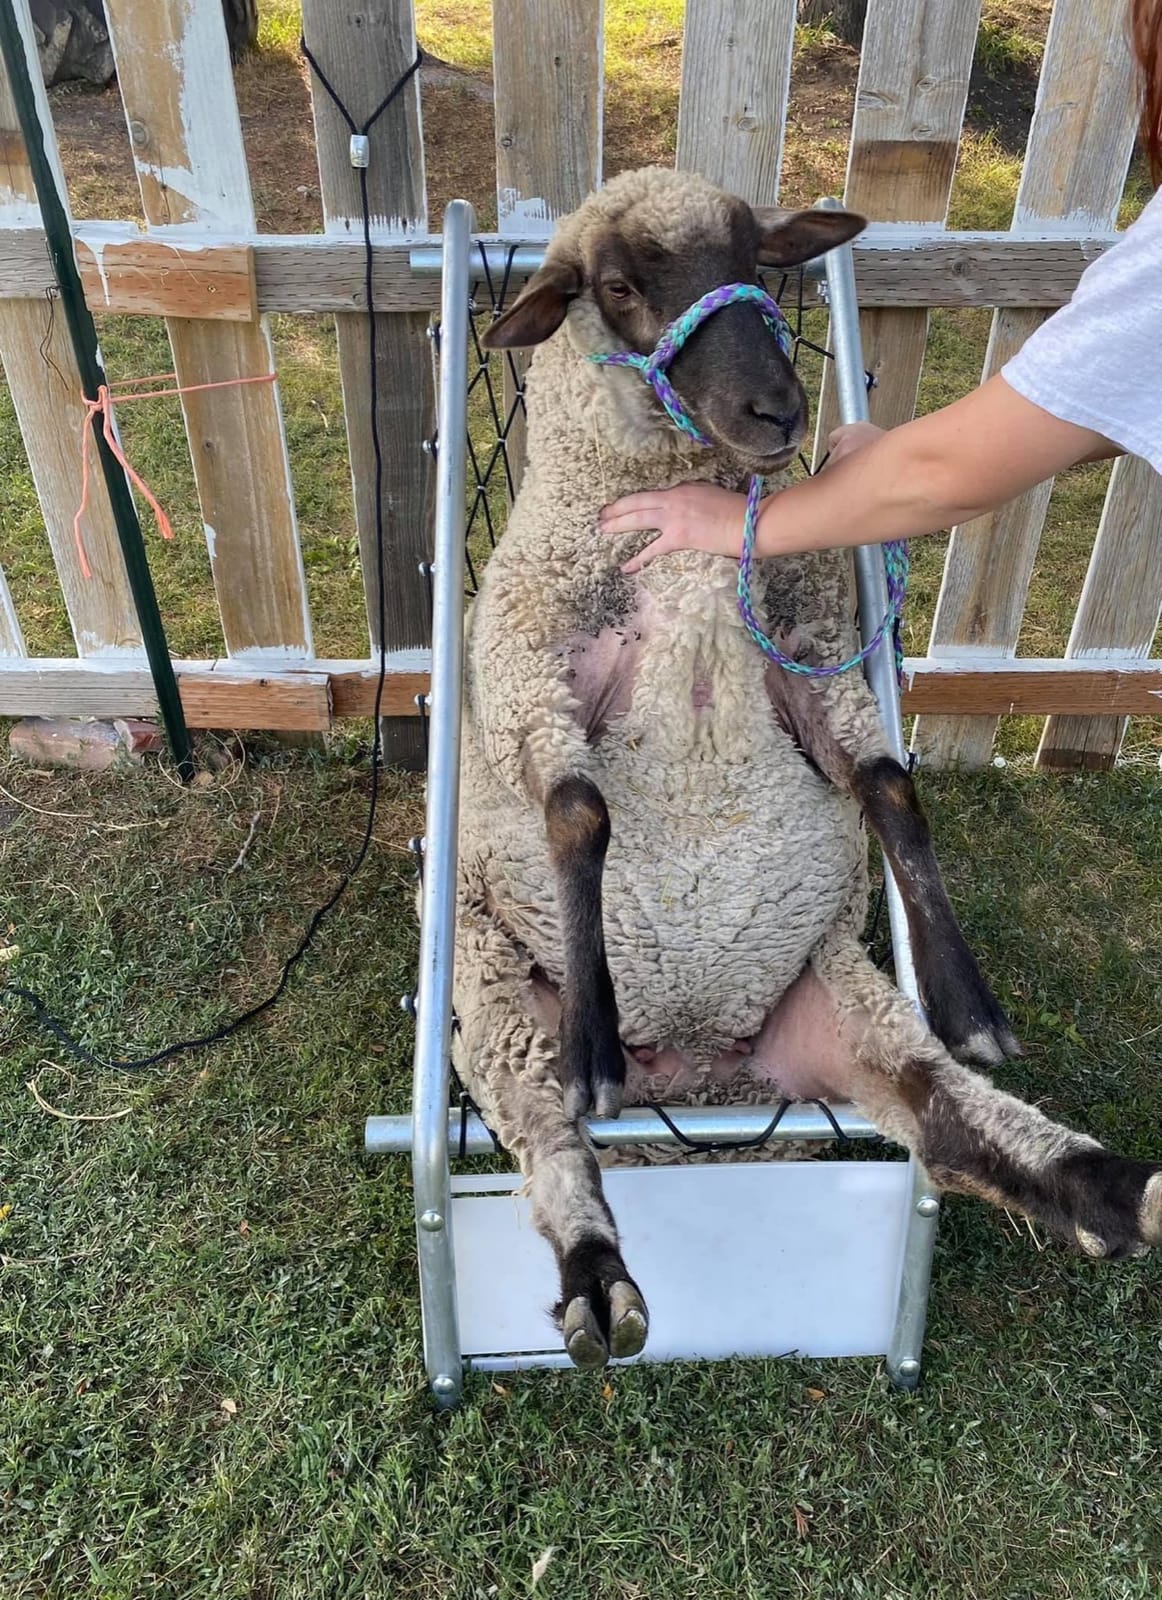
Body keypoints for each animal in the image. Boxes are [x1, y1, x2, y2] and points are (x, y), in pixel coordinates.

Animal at [451, 166, 1162, 1368]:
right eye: (615, 286)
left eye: (759, 259)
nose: (779, 413)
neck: (680, 532)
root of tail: (702, 1092)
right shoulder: (524, 677)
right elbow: (580, 812)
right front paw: (596, 1033)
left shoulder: (811, 657)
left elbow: (889, 787)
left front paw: (969, 998)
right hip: (494, 1002)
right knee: (549, 1138)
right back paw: (597, 1272)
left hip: (840, 1004)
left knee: (948, 1120)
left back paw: (1113, 1188)